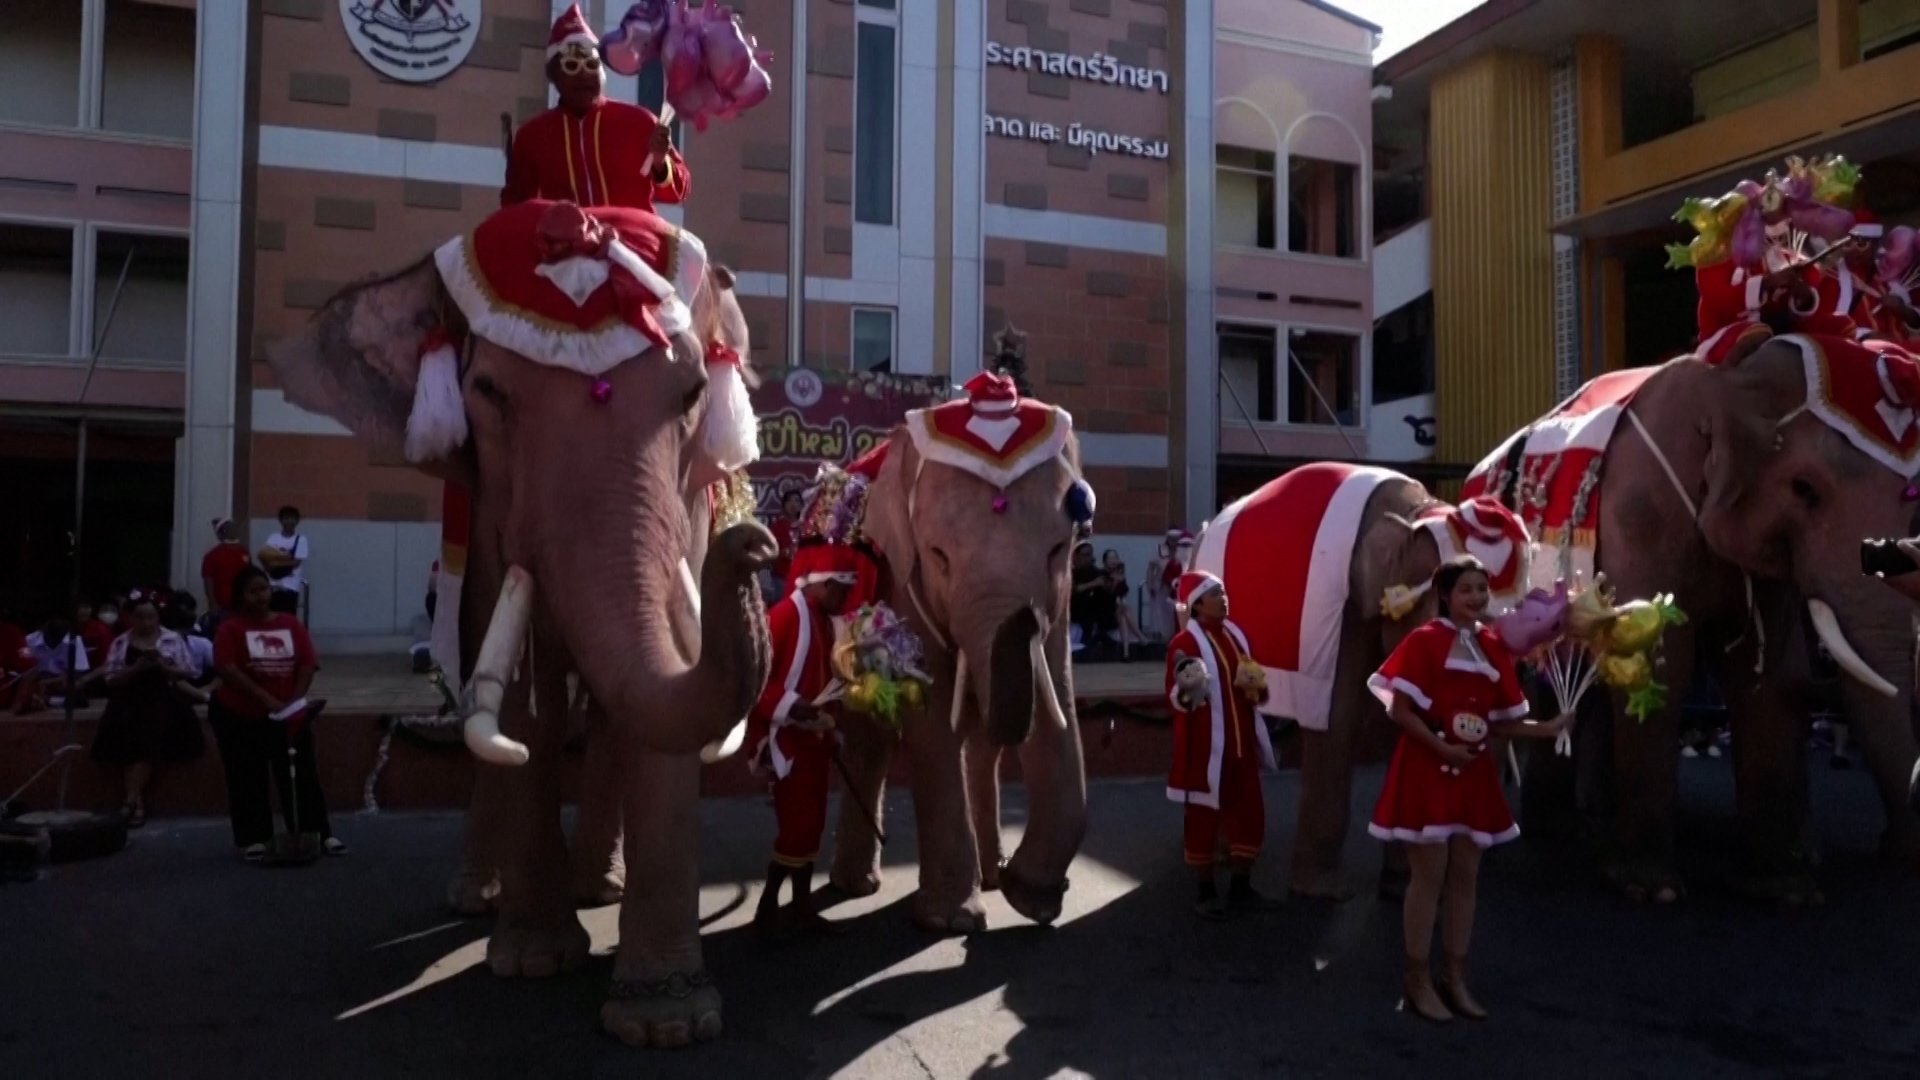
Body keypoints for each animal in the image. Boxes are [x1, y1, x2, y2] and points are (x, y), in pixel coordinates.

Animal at [268, 199, 771, 1045]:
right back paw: (479, 896)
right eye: (488, 393)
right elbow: (521, 703)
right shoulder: (489, 519)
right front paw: (533, 961)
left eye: (694, 392)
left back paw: (600, 884)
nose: (755, 543)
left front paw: (666, 1021)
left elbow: (665, 689)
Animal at [825, 374, 1098, 930]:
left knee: (984, 749)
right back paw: (858, 886)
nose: (1021, 618)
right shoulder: (901, 577)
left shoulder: (1060, 601)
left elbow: (1056, 703)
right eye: (938, 556)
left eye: (1059, 549)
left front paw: (1029, 898)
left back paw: (992, 875)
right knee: (871, 741)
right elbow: (933, 727)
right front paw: (954, 921)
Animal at [1190, 457, 1536, 895]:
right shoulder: (1341, 606)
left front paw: (1400, 884)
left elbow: (1402, 714)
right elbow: (1339, 719)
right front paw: (1322, 893)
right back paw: (1220, 860)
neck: (1417, 510)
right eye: (1449, 610)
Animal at [1466, 336, 1920, 899]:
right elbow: (1661, 660)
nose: (1897, 853)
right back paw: (1563, 830)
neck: (1734, 380)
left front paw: (1784, 888)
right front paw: (1650, 890)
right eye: (1803, 488)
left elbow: (1763, 674)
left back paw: (1587, 821)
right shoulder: (1641, 511)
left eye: (1911, 502)